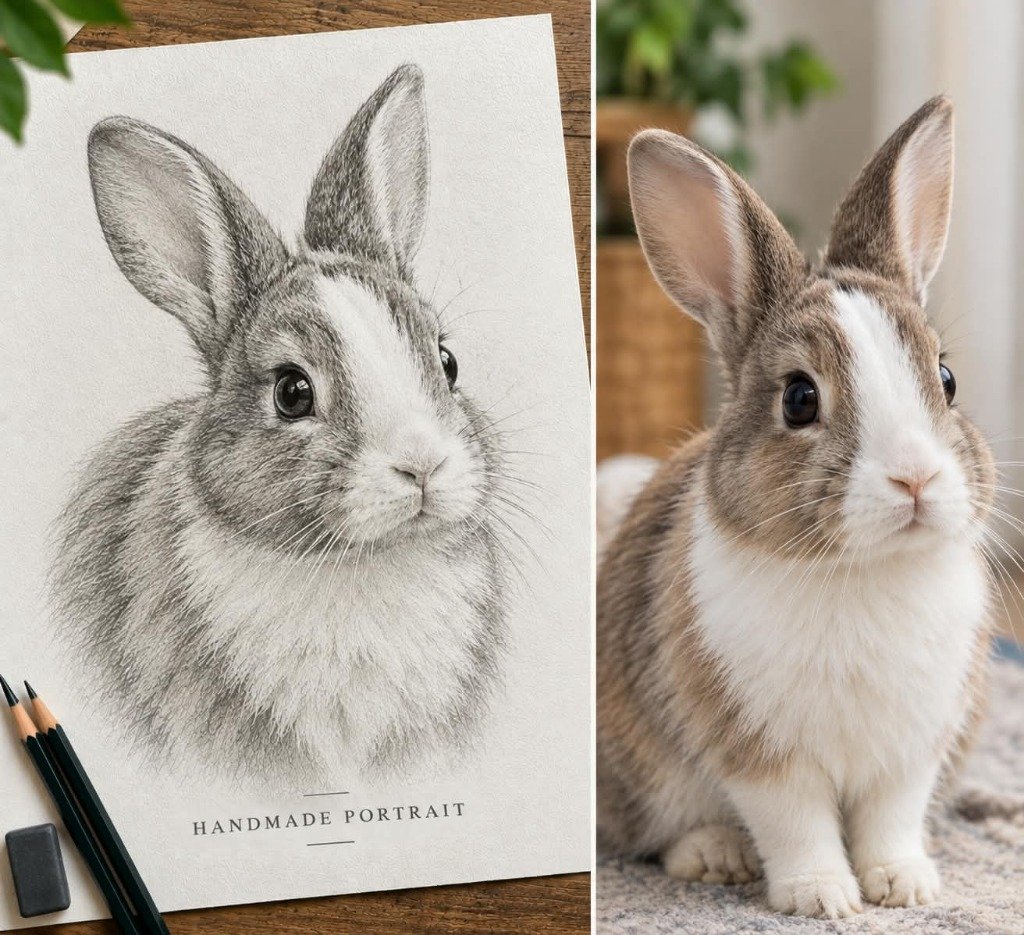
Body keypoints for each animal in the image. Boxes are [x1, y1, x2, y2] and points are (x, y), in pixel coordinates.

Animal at [597, 95, 997, 919]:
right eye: (799, 398)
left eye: (946, 378)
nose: (915, 480)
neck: (864, 570)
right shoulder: (758, 750)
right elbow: (796, 821)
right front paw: (824, 899)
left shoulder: (913, 748)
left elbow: (890, 817)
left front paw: (903, 888)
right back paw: (715, 855)